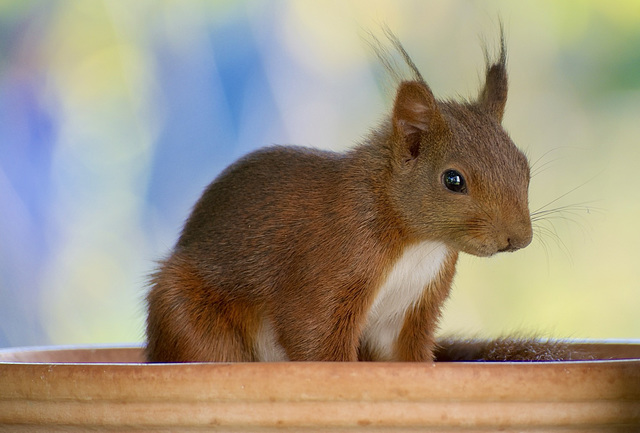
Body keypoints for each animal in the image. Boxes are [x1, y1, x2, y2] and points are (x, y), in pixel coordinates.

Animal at [145, 28, 580, 362]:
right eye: (453, 180)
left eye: (523, 166)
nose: (517, 239)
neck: (418, 243)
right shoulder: (326, 268)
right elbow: (314, 338)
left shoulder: (409, 310)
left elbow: (406, 355)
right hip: (190, 316)